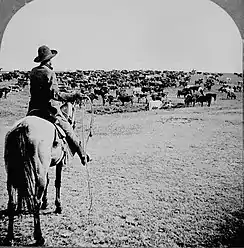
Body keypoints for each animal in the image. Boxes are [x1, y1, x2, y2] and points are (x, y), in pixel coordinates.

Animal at [3, 99, 81, 246]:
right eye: (73, 110)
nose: (73, 122)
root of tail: (22, 127)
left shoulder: (46, 167)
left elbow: (49, 182)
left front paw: (46, 202)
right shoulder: (58, 164)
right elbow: (57, 182)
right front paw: (58, 206)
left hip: (12, 174)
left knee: (11, 203)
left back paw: (9, 237)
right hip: (38, 174)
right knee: (35, 201)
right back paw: (39, 237)